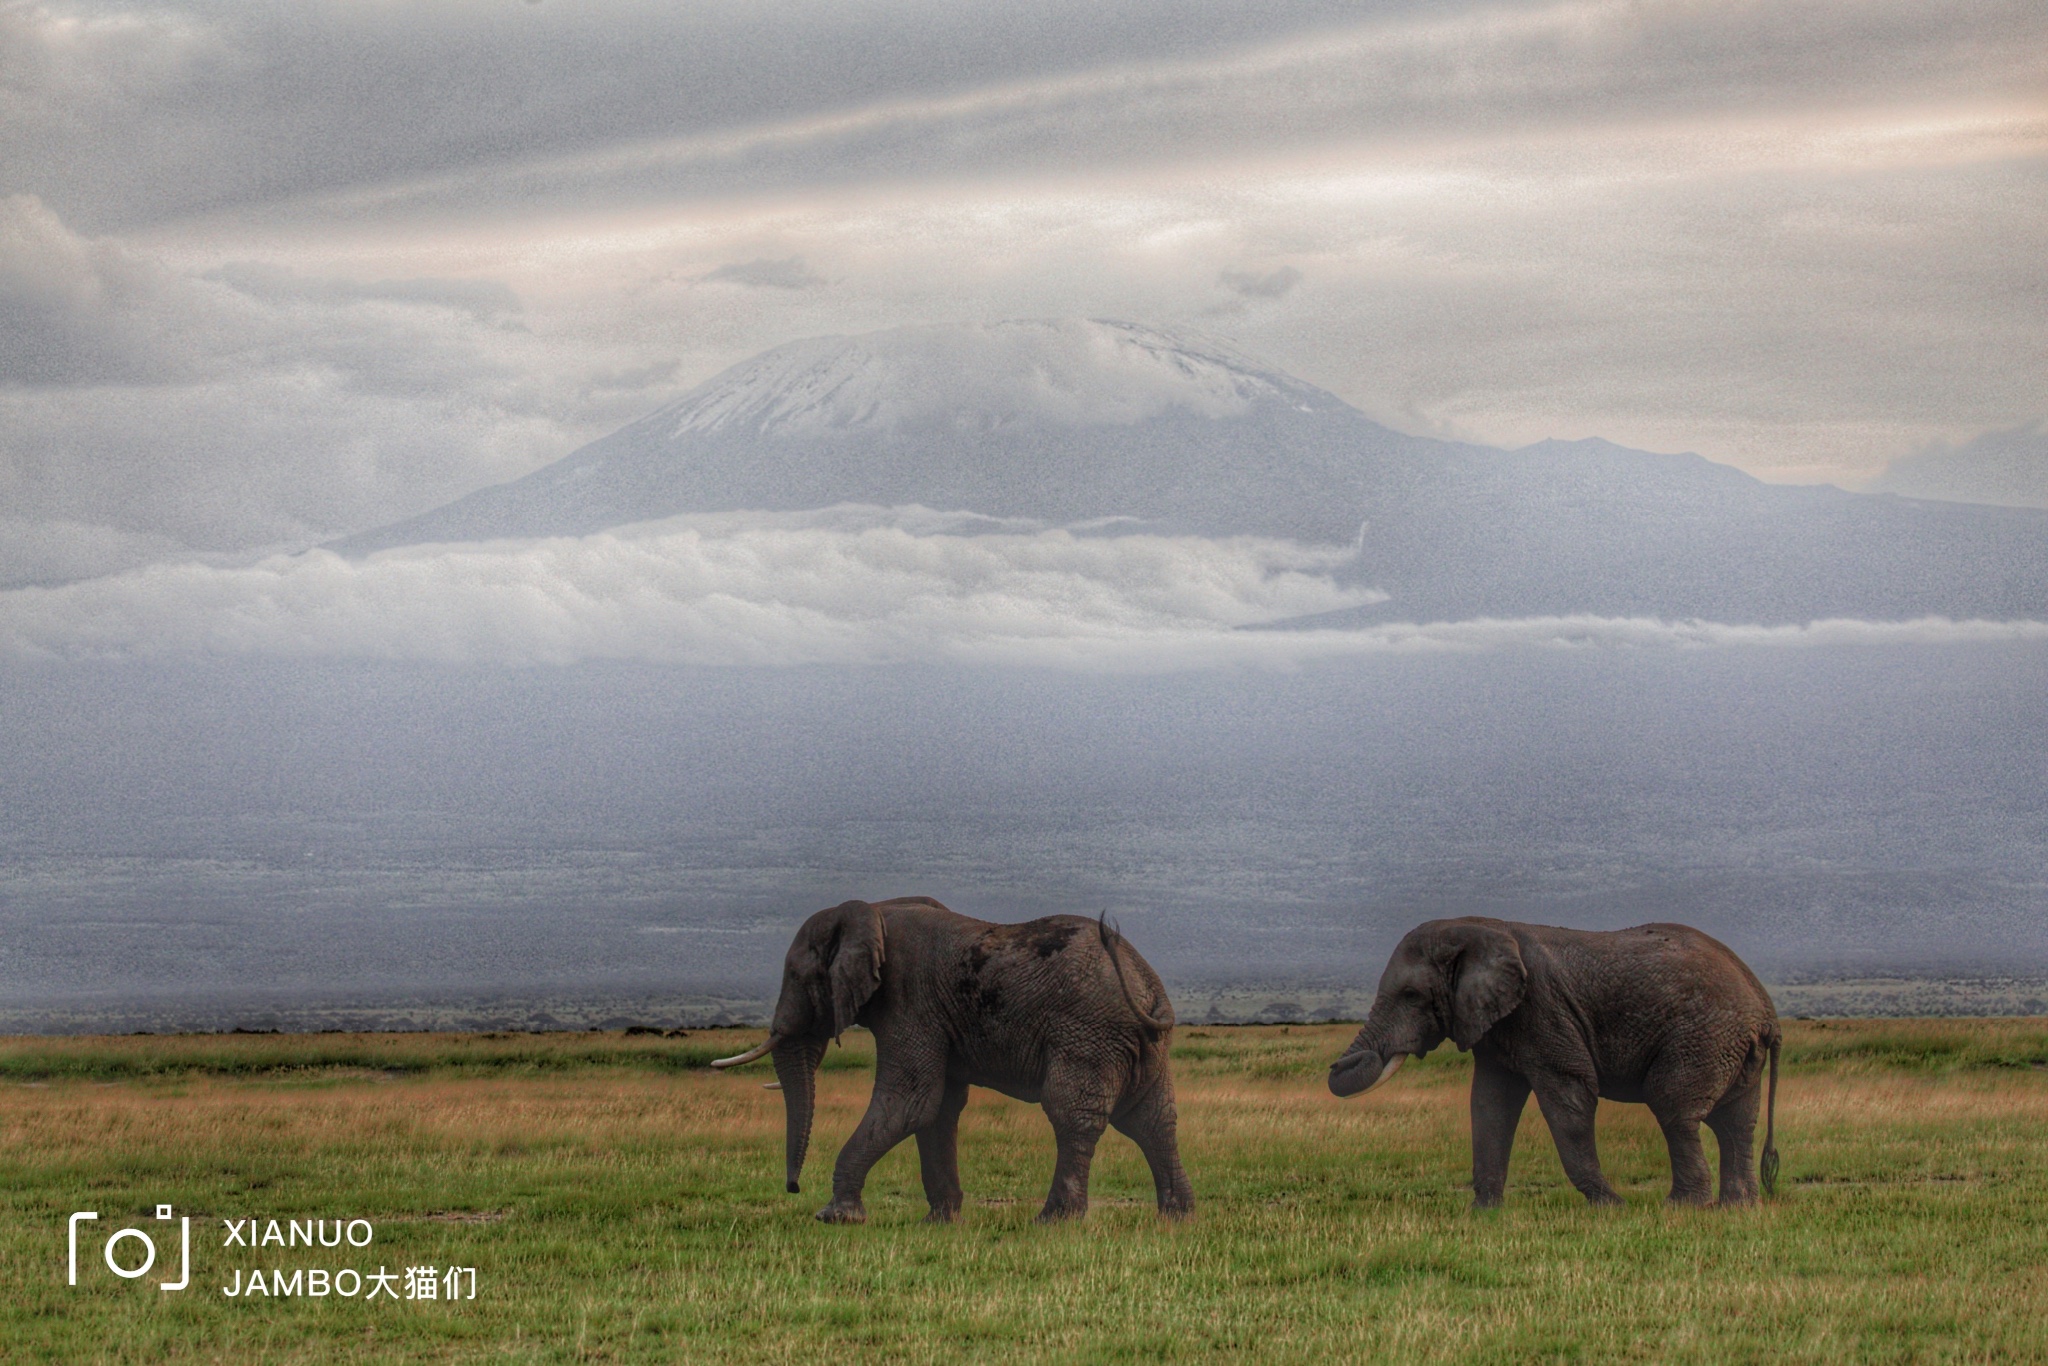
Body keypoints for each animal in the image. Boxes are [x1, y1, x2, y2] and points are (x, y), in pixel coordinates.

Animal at [708, 897, 1196, 1228]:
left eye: (795, 975)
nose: (793, 1188)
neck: (872, 910)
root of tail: (1146, 984)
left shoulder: (909, 1001)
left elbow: (910, 1102)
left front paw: (835, 1217)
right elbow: (938, 1109)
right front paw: (939, 1221)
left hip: (1087, 1033)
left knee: (1072, 1114)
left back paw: (1053, 1221)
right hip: (1139, 1045)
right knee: (1152, 1119)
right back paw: (1177, 1217)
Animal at [1327, 917, 1777, 1204]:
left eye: (1411, 996)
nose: (1335, 1066)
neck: (1479, 929)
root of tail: (1764, 1007)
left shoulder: (1542, 1009)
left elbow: (1570, 1098)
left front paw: (1611, 1206)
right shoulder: (1499, 1024)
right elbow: (1490, 1104)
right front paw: (1485, 1213)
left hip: (1703, 1037)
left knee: (1675, 1110)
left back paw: (1682, 1206)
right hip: (1731, 1046)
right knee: (1737, 1121)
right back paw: (1738, 1205)